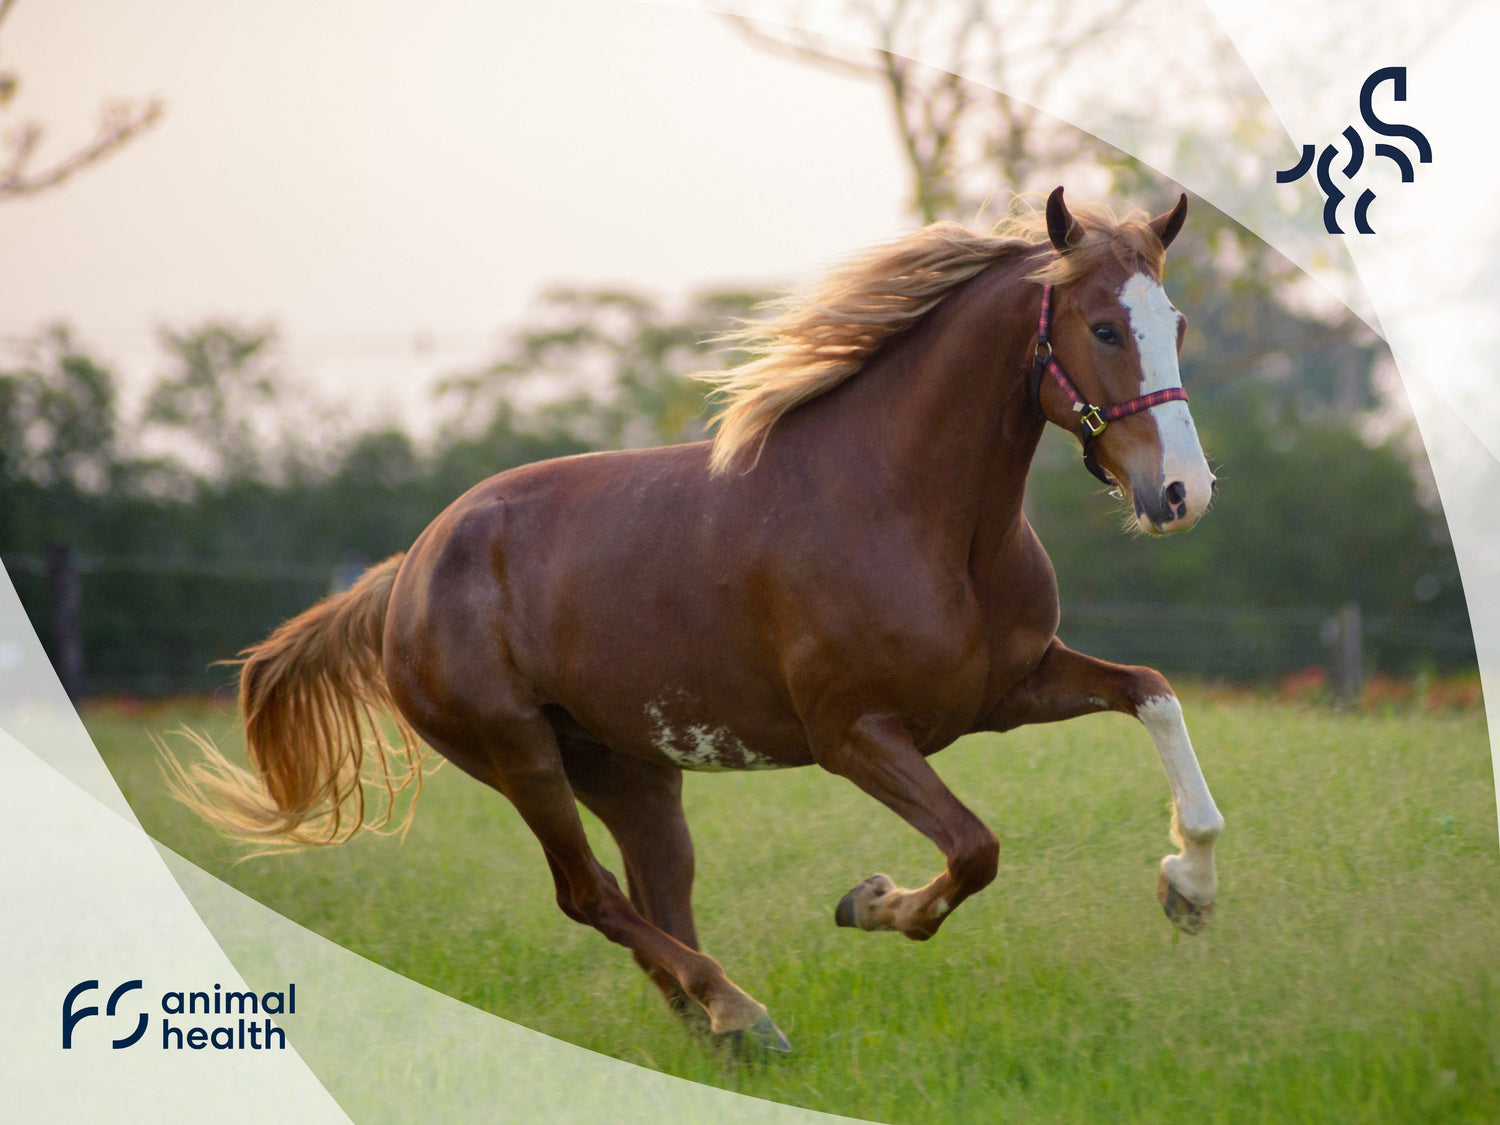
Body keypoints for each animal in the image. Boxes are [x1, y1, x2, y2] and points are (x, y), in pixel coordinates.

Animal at [166, 187, 1225, 1054]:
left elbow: (1153, 696)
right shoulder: (855, 734)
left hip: (633, 774)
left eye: (1174, 321)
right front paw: (871, 900)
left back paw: (720, 1025)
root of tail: (407, 572)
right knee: (590, 894)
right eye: (1103, 327)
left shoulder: (1007, 690)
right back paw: (740, 1012)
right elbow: (974, 849)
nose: (1183, 492)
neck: (914, 512)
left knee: (658, 901)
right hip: (520, 756)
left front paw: (1188, 886)